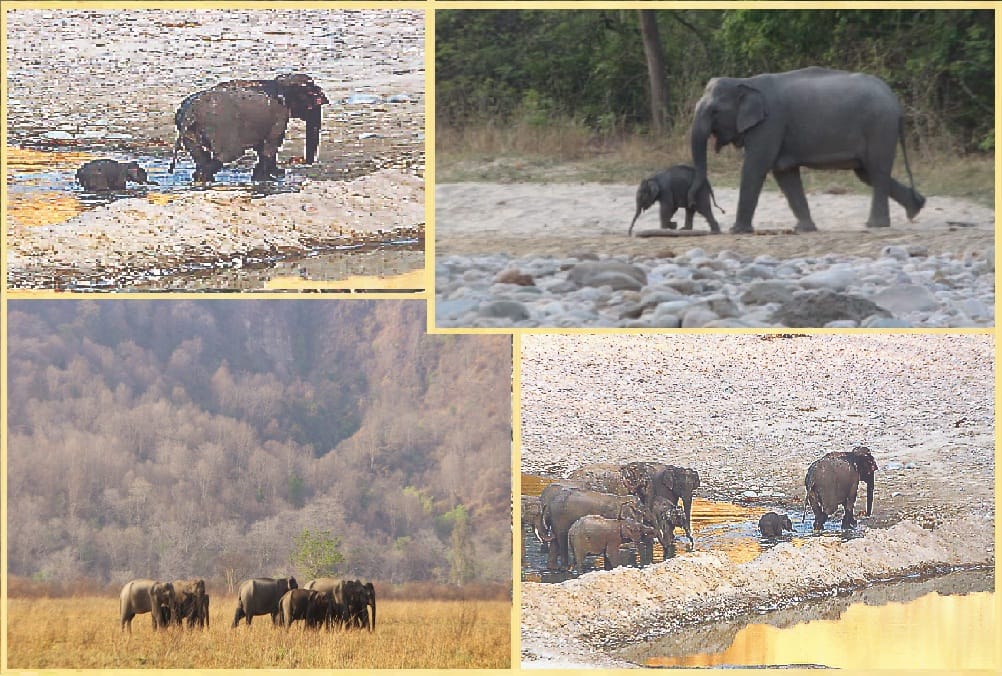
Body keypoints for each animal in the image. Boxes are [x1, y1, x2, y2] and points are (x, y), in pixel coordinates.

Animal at [170, 73, 329, 182]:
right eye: (316, 101)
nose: (307, 163)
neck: (284, 82)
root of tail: (190, 113)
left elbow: (263, 147)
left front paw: (273, 176)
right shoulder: (279, 115)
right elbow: (271, 144)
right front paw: (265, 179)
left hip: (189, 132)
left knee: (200, 155)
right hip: (220, 128)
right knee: (230, 153)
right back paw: (202, 178)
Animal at [689, 66, 925, 233]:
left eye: (715, 111)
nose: (719, 213)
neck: (746, 82)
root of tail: (895, 102)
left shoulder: (771, 123)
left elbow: (755, 167)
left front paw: (737, 231)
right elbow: (784, 173)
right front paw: (804, 229)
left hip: (879, 127)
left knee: (876, 170)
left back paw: (876, 225)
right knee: (867, 173)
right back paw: (916, 207)